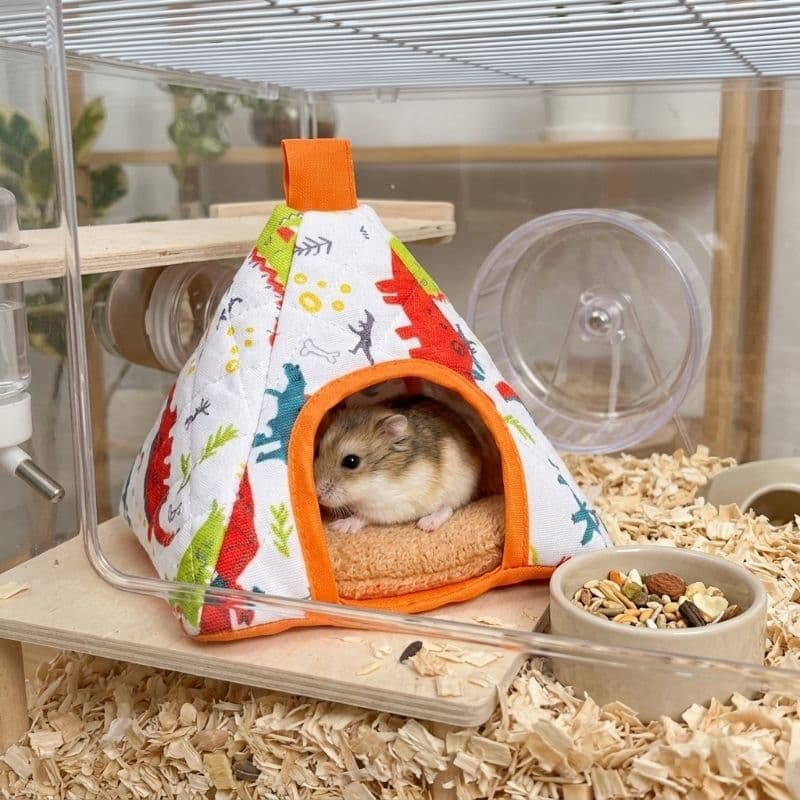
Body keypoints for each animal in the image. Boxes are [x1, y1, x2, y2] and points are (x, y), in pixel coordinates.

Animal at [314, 396, 481, 534]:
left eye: (351, 461)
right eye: (317, 451)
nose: (318, 496)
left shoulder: (390, 506)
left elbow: (363, 516)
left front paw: (337, 527)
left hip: (458, 488)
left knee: (447, 507)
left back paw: (426, 524)